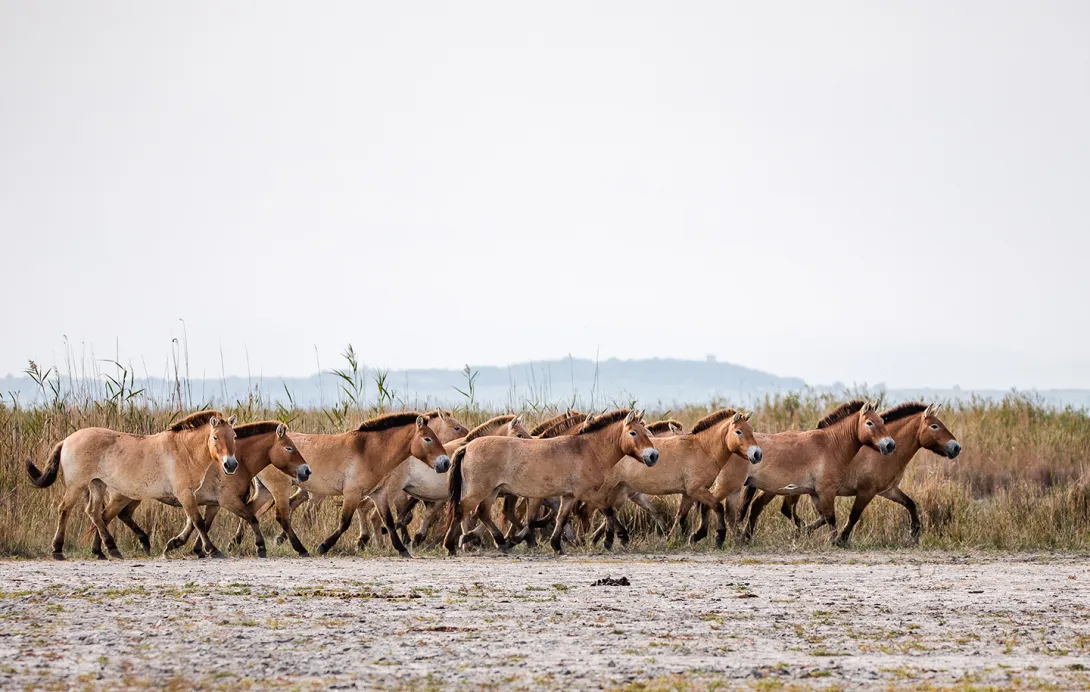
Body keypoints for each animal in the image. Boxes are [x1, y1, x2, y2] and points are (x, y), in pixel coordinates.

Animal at [26, 411, 239, 560]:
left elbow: (193, 521)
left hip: (98, 484)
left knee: (95, 513)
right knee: (65, 510)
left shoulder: (189, 495)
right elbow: (198, 521)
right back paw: (58, 550)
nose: (231, 465)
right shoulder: (184, 493)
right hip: (77, 485)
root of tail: (67, 440)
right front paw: (213, 550)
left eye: (234, 436)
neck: (184, 450)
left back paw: (109, 549)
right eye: (215, 437)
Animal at [443, 409, 658, 555]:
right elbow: (608, 511)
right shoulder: (588, 494)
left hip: (493, 491)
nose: (653, 455)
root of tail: (466, 447)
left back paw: (500, 542)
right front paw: (610, 540)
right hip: (480, 491)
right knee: (462, 510)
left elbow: (561, 518)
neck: (587, 450)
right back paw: (451, 546)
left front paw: (556, 545)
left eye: (646, 432)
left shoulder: (569, 496)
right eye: (633, 433)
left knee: (483, 513)